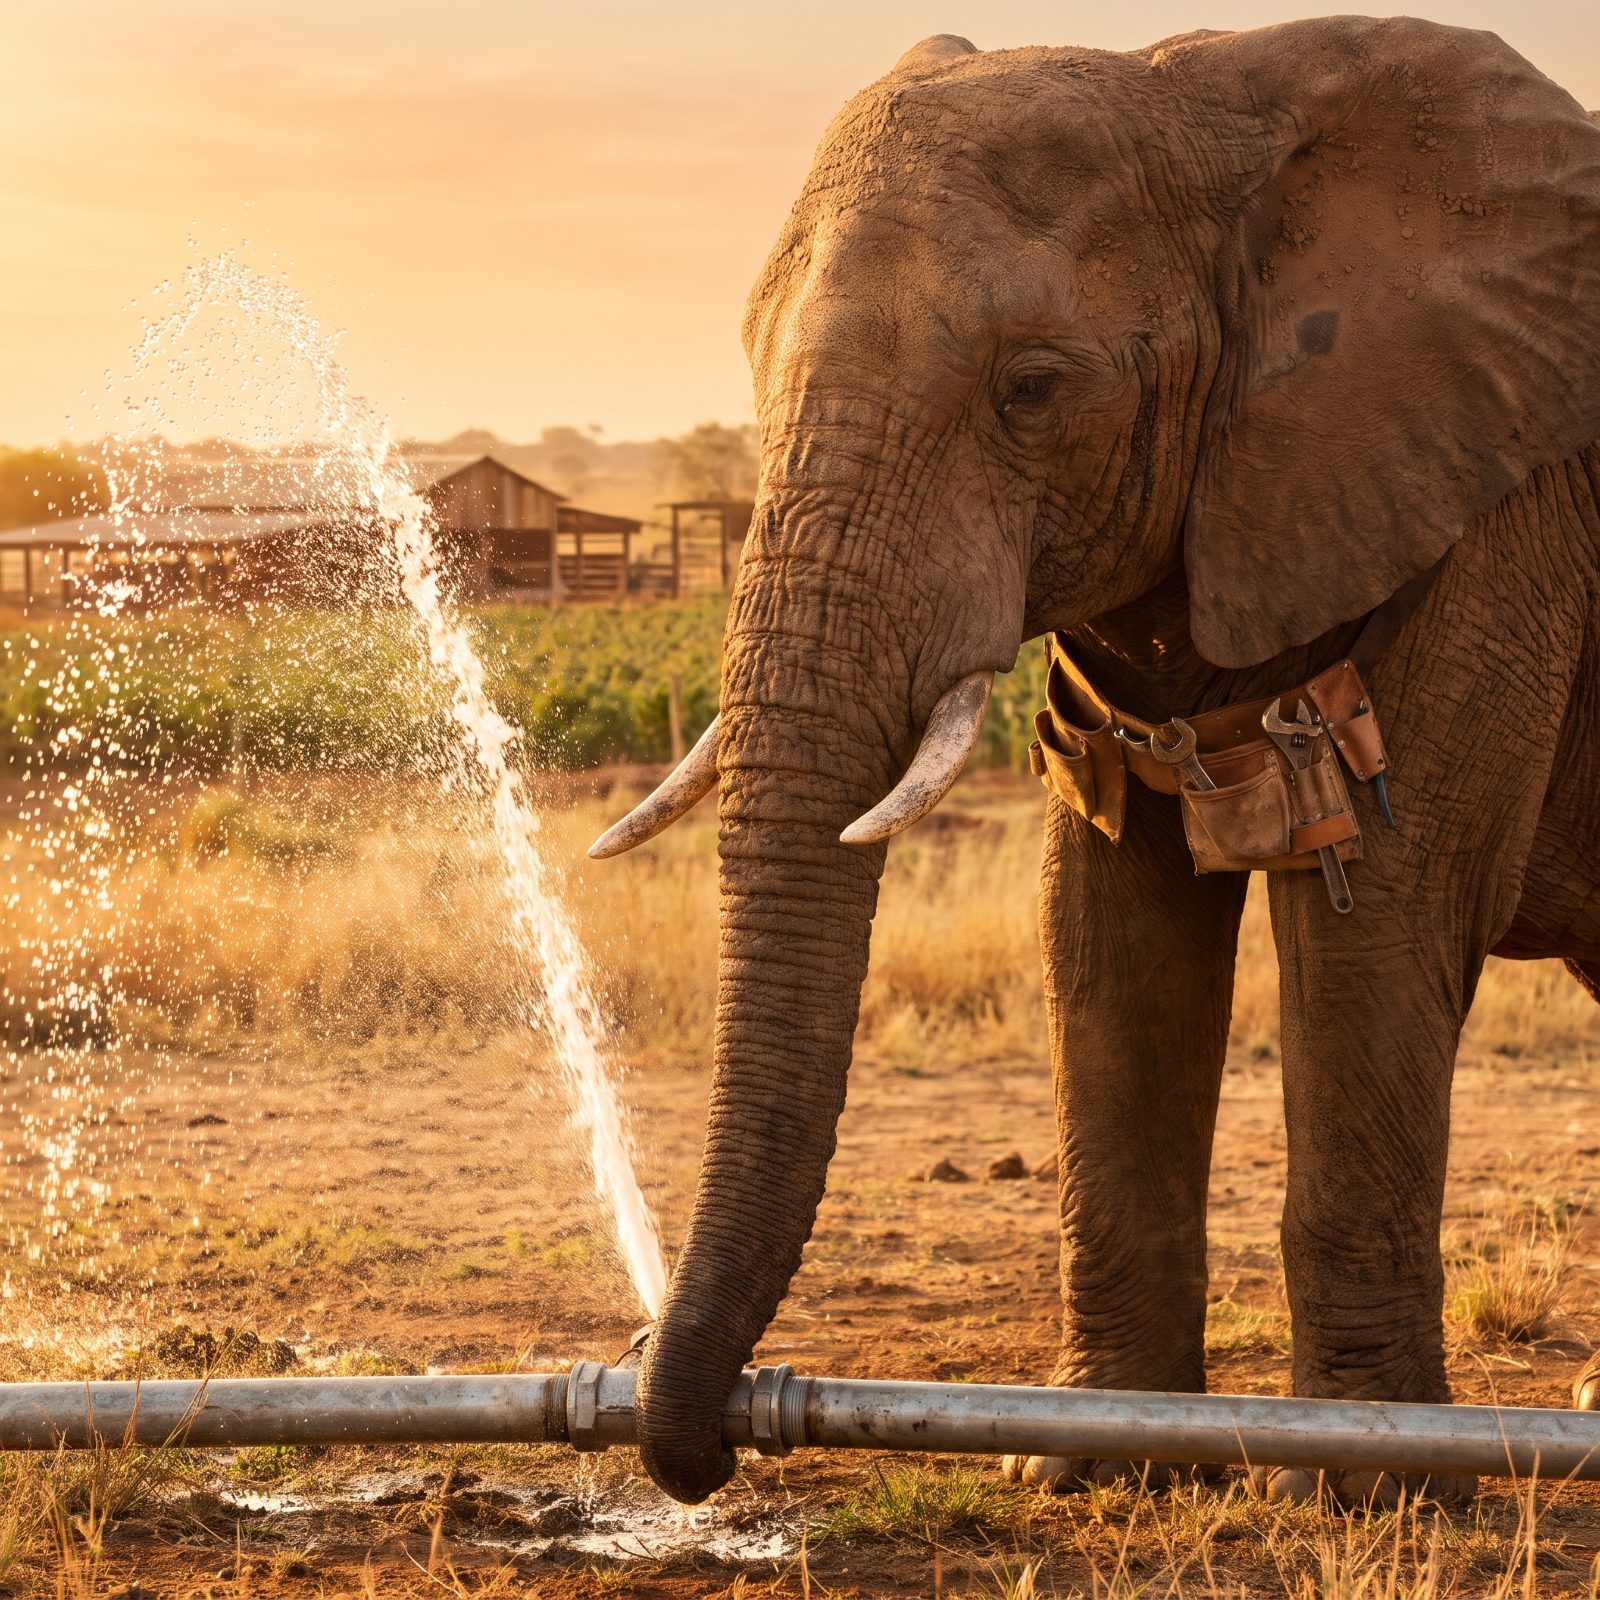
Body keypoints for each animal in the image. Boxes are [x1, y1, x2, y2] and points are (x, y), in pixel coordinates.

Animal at [591, 16, 1600, 1505]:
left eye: (1031, 390)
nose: (703, 1443)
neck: (1207, 95)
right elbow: (1106, 928)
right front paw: (1089, 1463)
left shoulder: (1491, 504)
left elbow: (1382, 912)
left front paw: (1364, 1485)